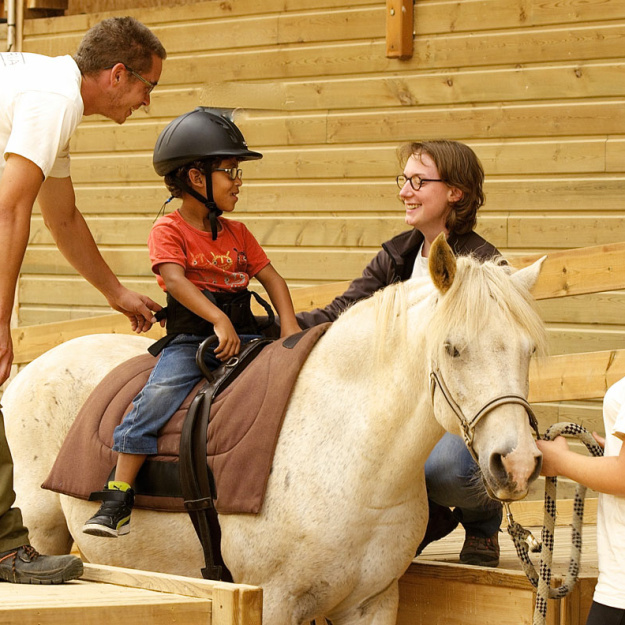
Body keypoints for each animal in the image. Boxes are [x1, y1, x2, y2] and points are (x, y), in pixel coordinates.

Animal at [6, 236, 544, 620]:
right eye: (453, 348)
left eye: (529, 349)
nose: (517, 463)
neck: (356, 462)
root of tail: (25, 374)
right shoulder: (276, 602)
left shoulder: (372, 604)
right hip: (43, 527)